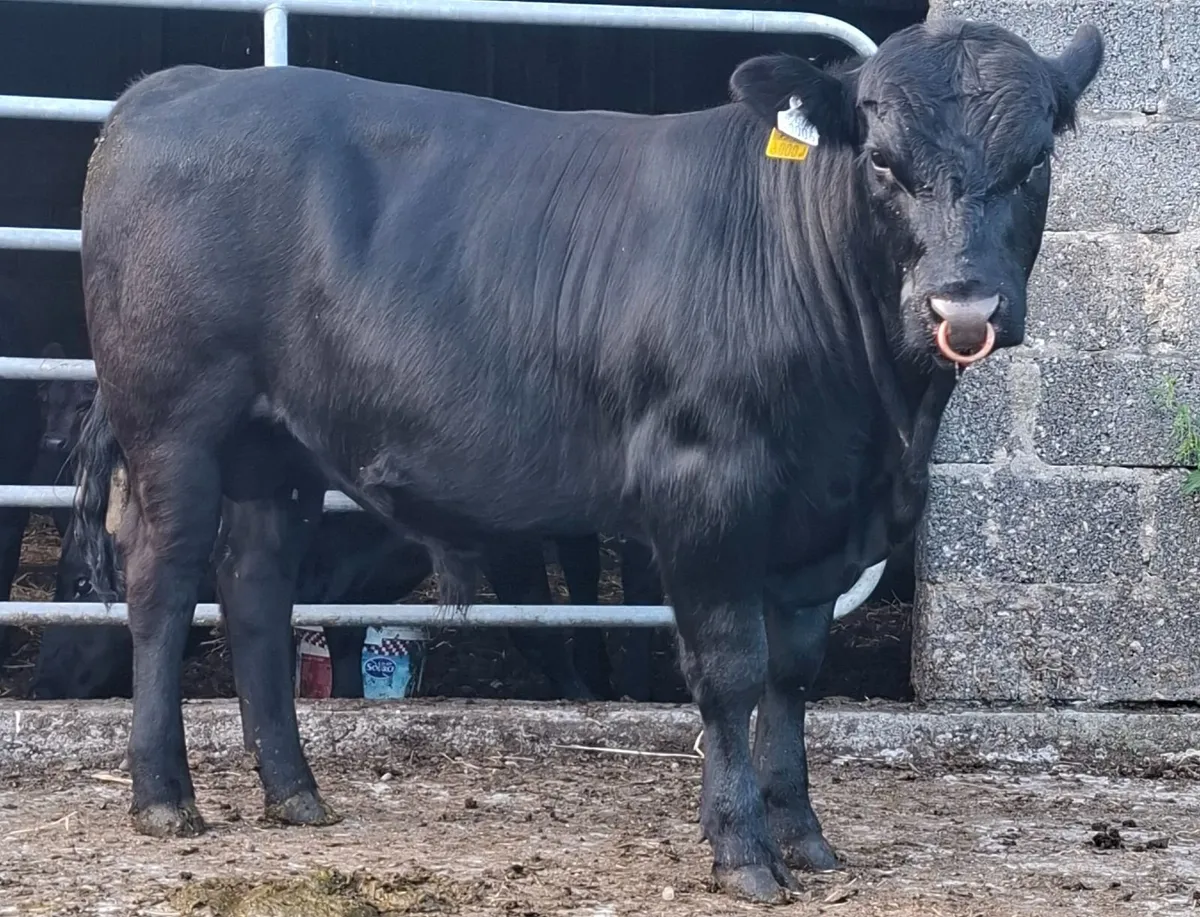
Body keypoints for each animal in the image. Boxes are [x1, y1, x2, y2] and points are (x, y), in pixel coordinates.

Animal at [70, 17, 1102, 902]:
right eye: (883, 160)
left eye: (1036, 161)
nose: (963, 306)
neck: (876, 424)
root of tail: (178, 86)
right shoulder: (705, 494)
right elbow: (732, 672)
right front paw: (742, 848)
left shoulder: (822, 524)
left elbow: (794, 676)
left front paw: (804, 834)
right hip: (176, 422)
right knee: (163, 585)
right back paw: (164, 795)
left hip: (273, 448)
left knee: (256, 590)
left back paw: (294, 791)